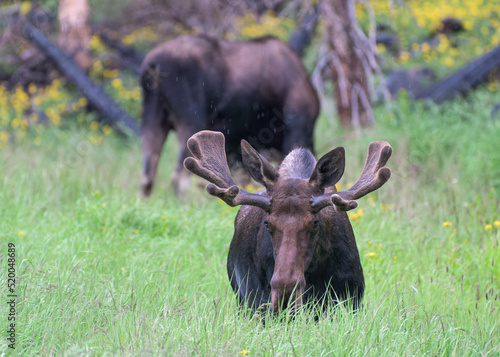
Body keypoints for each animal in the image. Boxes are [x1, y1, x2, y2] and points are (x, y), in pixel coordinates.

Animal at [139, 34, 318, 196]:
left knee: (147, 178)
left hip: (153, 115)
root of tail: (153, 64)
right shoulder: (296, 127)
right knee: (178, 177)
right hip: (192, 120)